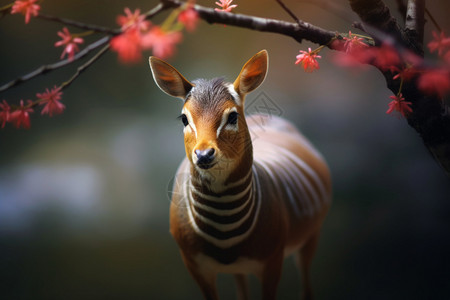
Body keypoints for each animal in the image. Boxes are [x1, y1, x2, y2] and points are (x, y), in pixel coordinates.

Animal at [149, 50, 332, 298]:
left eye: (233, 116)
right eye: (184, 118)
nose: (204, 155)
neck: (225, 236)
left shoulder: (272, 262)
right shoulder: (196, 265)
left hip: (311, 236)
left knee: (307, 288)